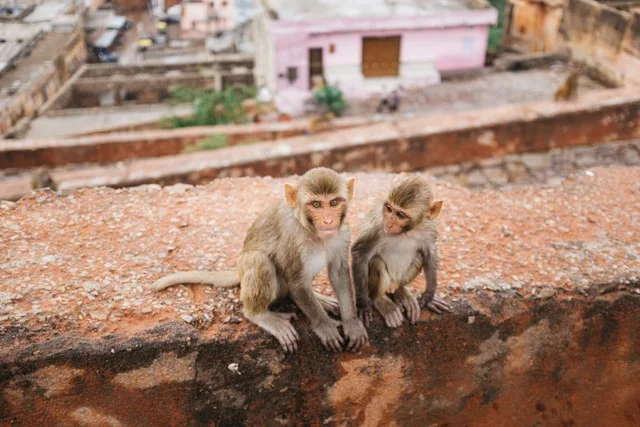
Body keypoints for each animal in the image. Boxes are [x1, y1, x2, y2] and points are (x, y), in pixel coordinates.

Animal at [151, 168, 368, 354]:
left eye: (334, 202)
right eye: (316, 204)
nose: (328, 221)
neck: (313, 232)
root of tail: (238, 271)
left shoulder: (343, 234)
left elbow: (339, 273)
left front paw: (352, 323)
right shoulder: (293, 239)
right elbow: (297, 282)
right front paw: (325, 325)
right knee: (260, 260)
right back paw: (259, 314)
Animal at [352, 176, 452, 330]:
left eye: (400, 215)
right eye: (389, 209)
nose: (389, 221)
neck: (406, 231)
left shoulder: (428, 227)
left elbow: (430, 253)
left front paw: (429, 296)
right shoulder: (377, 227)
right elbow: (360, 254)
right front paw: (363, 305)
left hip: (398, 279)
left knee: (419, 256)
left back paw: (401, 292)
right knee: (376, 262)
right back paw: (382, 301)